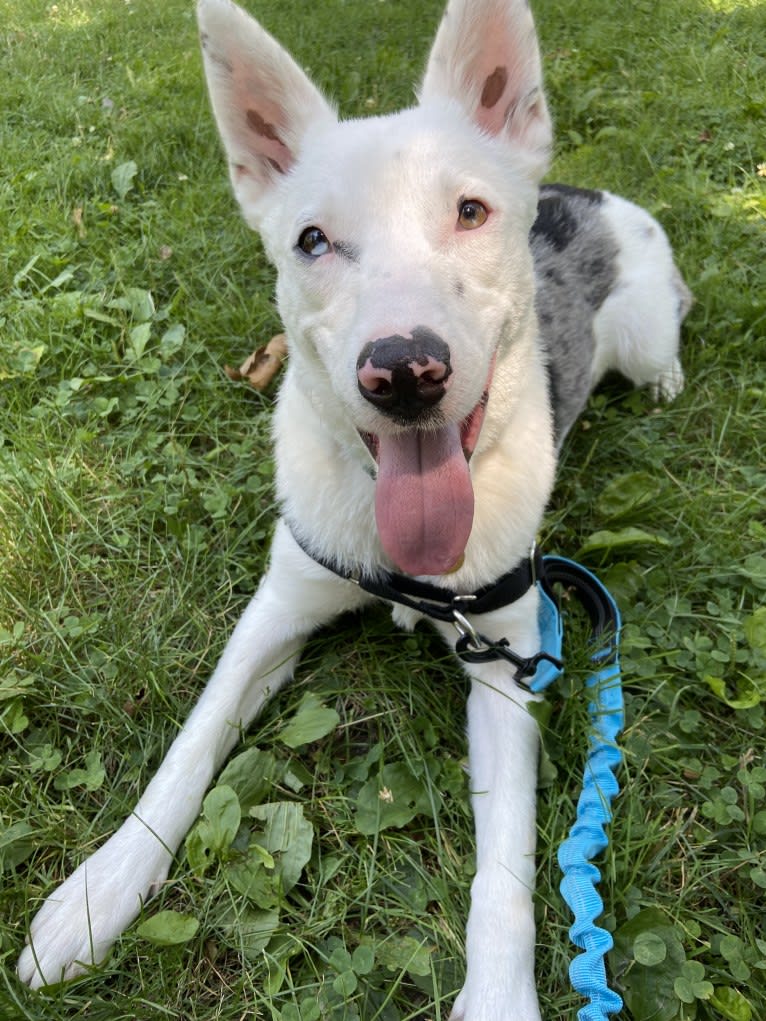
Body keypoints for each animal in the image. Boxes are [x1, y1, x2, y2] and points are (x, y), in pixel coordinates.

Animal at [18, 1, 694, 1012]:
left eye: (469, 211)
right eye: (312, 241)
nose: (404, 370)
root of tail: (589, 196)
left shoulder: (513, 660)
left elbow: (507, 868)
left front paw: (499, 995)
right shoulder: (274, 611)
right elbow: (189, 746)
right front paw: (100, 890)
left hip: (647, 333)